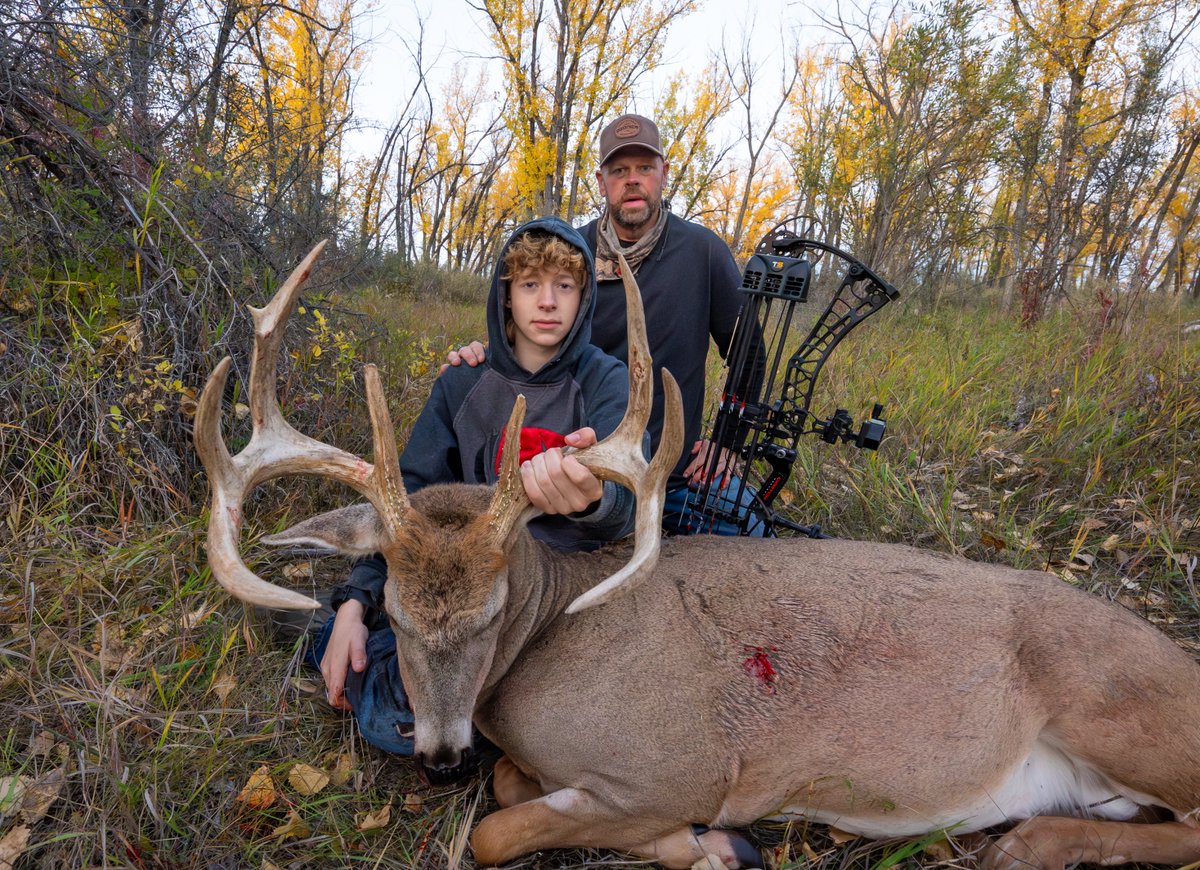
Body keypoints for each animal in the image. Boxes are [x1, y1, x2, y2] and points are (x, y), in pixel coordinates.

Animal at [195, 240, 1200, 870]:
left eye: (490, 614)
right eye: (397, 617)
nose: (439, 759)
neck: (549, 638)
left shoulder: (684, 770)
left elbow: (496, 832)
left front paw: (708, 846)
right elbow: (512, 784)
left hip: (1122, 708)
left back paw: (1026, 845)